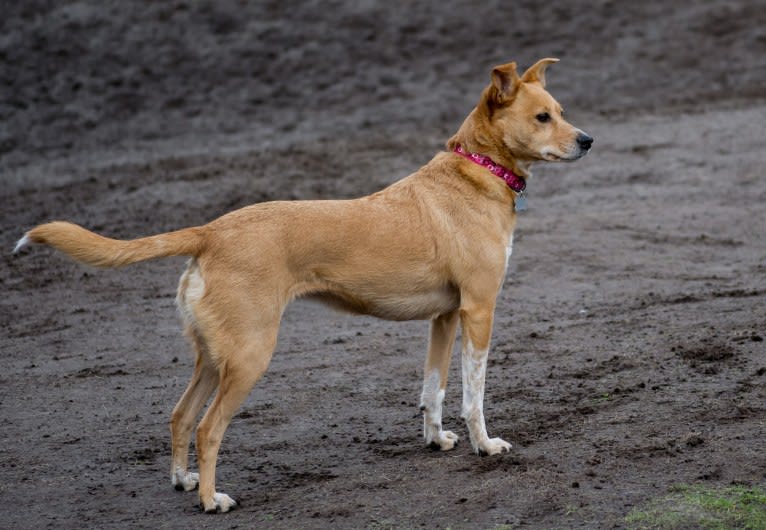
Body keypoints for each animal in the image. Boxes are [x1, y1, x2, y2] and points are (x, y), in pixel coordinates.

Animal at [16, 58, 592, 512]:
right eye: (542, 117)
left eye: (562, 110)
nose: (588, 140)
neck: (477, 171)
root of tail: (211, 231)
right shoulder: (479, 311)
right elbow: (474, 394)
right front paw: (485, 446)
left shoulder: (444, 317)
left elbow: (433, 388)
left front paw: (436, 440)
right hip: (249, 357)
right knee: (207, 428)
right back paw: (210, 499)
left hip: (214, 357)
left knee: (180, 417)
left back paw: (184, 482)